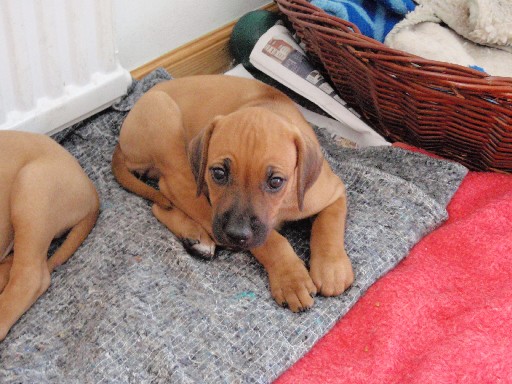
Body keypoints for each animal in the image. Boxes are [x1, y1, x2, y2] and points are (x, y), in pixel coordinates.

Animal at [111, 76, 352, 312]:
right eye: (219, 173)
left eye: (275, 181)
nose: (236, 234)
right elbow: (273, 242)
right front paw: (291, 280)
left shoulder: (333, 192)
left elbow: (329, 225)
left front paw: (331, 269)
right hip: (167, 125)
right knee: (172, 191)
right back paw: (198, 236)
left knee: (161, 203)